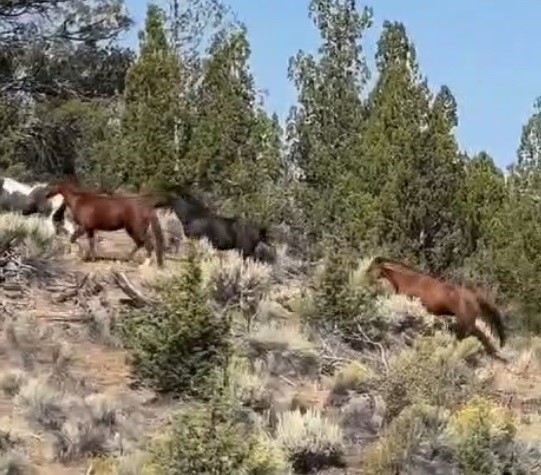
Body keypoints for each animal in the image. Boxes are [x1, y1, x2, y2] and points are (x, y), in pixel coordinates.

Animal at [364, 258, 504, 358]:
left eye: (372, 267)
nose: (365, 275)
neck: (409, 280)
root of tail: (474, 297)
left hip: (467, 322)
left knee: (477, 337)